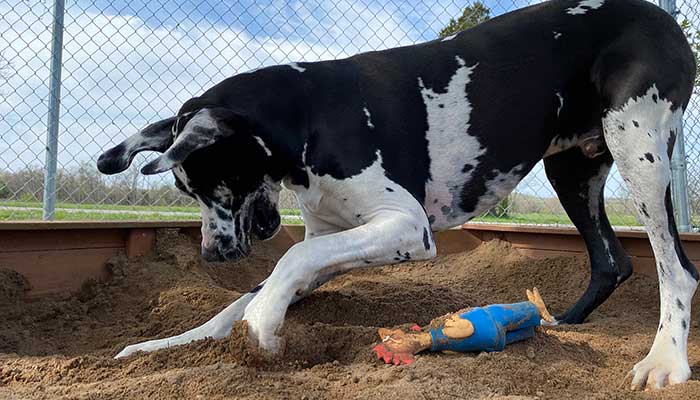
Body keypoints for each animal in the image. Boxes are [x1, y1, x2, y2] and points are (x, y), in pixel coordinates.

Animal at [97, 0, 696, 390]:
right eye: (185, 191)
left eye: (214, 183)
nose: (212, 254)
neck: (310, 115)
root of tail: (659, 13)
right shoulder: (339, 237)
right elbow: (248, 294)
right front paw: (168, 346)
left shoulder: (406, 226)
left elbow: (290, 259)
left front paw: (263, 326)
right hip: (572, 170)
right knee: (612, 260)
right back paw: (561, 323)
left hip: (638, 149)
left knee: (677, 270)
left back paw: (665, 360)